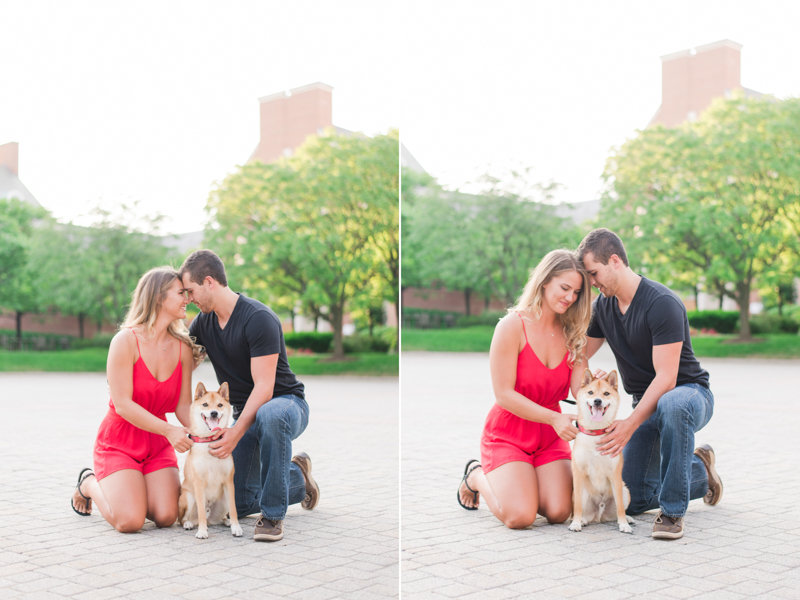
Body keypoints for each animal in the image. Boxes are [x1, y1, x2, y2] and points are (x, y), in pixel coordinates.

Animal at [179, 384, 244, 540]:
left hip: (224, 499)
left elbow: (234, 510)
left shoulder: (229, 481)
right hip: (188, 498)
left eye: (220, 405)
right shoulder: (199, 482)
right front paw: (202, 531)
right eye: (205, 404)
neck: (209, 441)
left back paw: (227, 522)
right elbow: (201, 512)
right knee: (184, 519)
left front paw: (236, 527)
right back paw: (189, 524)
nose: (214, 413)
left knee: (222, 517)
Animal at [564, 370, 636, 536]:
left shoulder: (615, 475)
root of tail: (599, 515)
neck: (595, 433)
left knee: (617, 511)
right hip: (583, 493)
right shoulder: (578, 473)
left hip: (625, 490)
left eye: (606, 393)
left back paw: (627, 519)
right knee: (584, 513)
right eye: (590, 392)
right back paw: (582, 520)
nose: (597, 401)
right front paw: (576, 523)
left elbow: (620, 507)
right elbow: (577, 507)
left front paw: (624, 524)